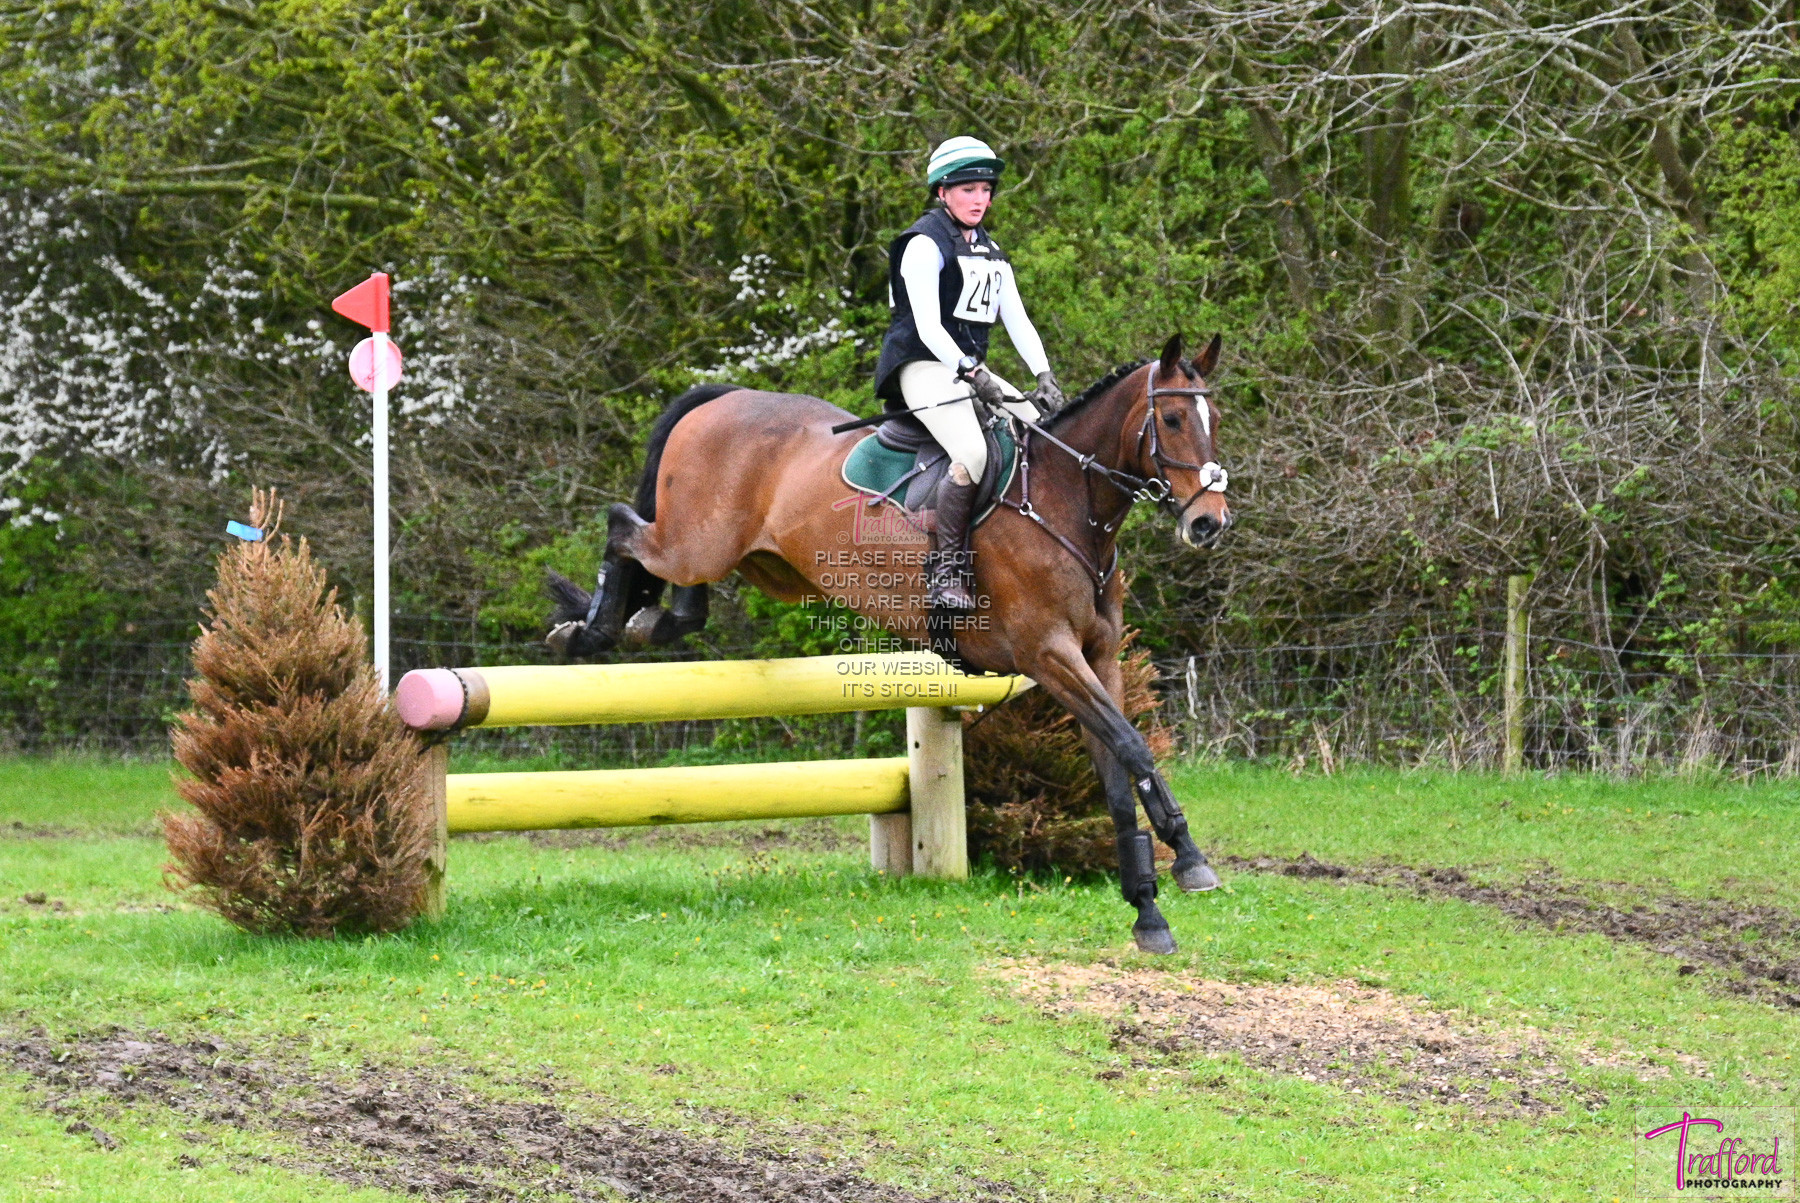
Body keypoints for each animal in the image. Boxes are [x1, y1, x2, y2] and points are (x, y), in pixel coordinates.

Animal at [547, 332, 1233, 953]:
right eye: (1172, 419)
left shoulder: (1097, 660)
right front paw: (1189, 858)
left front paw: (1148, 909)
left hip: (759, 563)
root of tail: (727, 396)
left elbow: (1117, 771)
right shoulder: (1050, 656)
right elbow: (1133, 747)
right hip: (696, 540)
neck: (1067, 501)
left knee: (688, 599)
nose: (1209, 524)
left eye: (1215, 420)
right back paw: (589, 628)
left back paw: (639, 622)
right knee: (622, 527)